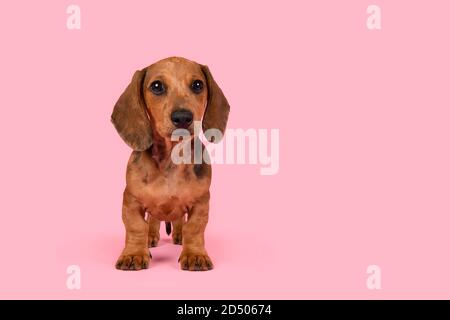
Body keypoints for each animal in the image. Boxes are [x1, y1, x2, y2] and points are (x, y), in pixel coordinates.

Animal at [109, 57, 229, 270]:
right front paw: (133, 254)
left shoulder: (201, 202)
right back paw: (151, 238)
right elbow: (136, 227)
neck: (171, 161)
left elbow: (194, 227)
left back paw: (179, 236)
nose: (182, 117)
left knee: (180, 221)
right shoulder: (131, 200)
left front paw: (195, 255)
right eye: (157, 86)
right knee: (152, 220)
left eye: (198, 85)